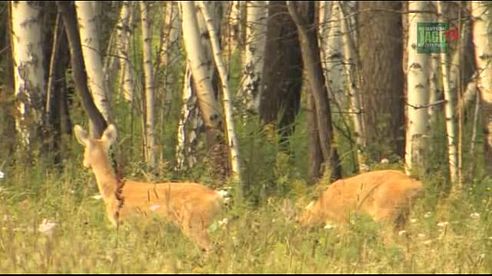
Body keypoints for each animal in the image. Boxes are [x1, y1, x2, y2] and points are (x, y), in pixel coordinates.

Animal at [73, 124, 225, 251]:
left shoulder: (127, 223)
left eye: (84, 149)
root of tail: (217, 197)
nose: (84, 163)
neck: (112, 188)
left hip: (194, 223)